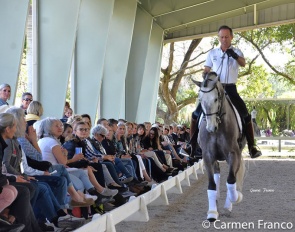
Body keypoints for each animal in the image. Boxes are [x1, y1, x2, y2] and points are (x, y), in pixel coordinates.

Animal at [194, 72, 247, 221]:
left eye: (216, 99)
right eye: (200, 99)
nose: (210, 128)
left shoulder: (233, 155)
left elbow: (231, 180)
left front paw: (235, 199)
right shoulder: (207, 156)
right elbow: (212, 184)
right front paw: (212, 212)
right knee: (217, 174)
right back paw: (216, 202)